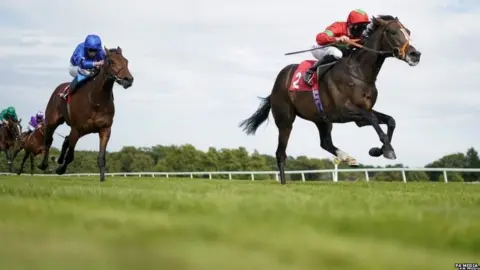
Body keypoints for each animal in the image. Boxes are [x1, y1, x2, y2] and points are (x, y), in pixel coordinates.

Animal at [37, 47, 134, 181]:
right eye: (111, 61)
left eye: (126, 61)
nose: (128, 79)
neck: (97, 100)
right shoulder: (77, 129)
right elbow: (70, 155)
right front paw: (60, 169)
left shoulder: (105, 129)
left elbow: (101, 157)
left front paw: (102, 179)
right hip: (53, 121)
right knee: (49, 140)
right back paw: (44, 164)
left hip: (85, 130)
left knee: (66, 139)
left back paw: (59, 159)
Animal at [239, 15, 420, 185]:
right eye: (393, 32)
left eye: (408, 31)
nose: (415, 54)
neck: (359, 73)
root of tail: (276, 84)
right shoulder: (346, 111)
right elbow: (374, 120)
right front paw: (386, 150)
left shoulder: (361, 116)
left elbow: (390, 121)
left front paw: (378, 150)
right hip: (285, 120)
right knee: (280, 153)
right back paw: (284, 183)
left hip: (322, 118)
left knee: (325, 142)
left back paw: (347, 157)